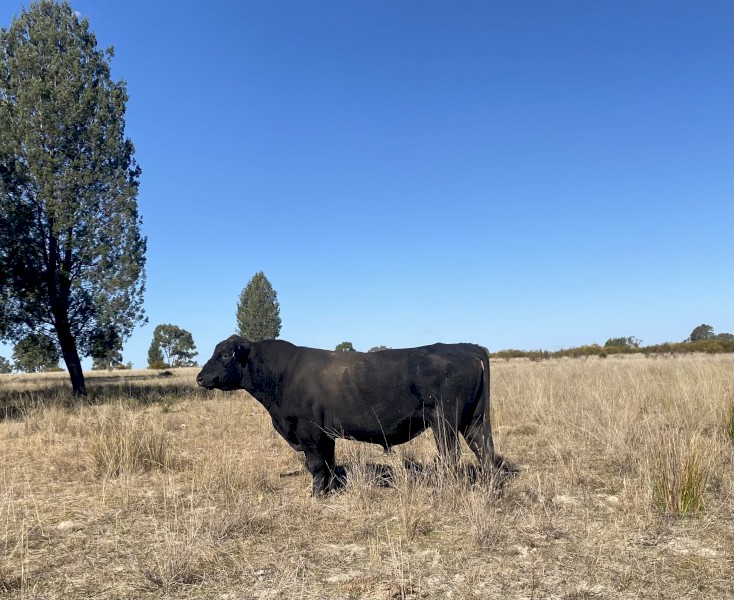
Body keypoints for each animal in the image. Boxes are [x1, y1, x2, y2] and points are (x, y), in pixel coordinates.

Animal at [197, 336, 507, 494]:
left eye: (226, 354)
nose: (200, 378)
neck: (284, 373)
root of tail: (465, 346)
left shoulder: (310, 432)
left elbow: (317, 464)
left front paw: (317, 494)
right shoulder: (324, 434)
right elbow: (329, 463)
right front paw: (331, 490)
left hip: (445, 420)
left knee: (451, 455)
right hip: (474, 420)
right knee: (484, 450)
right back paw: (490, 486)